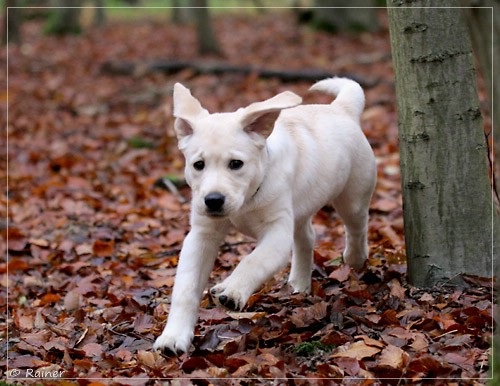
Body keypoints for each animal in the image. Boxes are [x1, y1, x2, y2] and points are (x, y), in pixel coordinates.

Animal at [154, 77, 376, 354]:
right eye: (198, 165)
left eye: (236, 164)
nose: (213, 200)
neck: (248, 198)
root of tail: (342, 108)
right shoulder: (201, 235)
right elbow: (186, 288)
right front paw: (174, 336)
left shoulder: (277, 231)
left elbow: (253, 260)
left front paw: (233, 291)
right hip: (300, 209)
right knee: (307, 237)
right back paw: (299, 283)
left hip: (352, 197)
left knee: (357, 227)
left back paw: (355, 258)